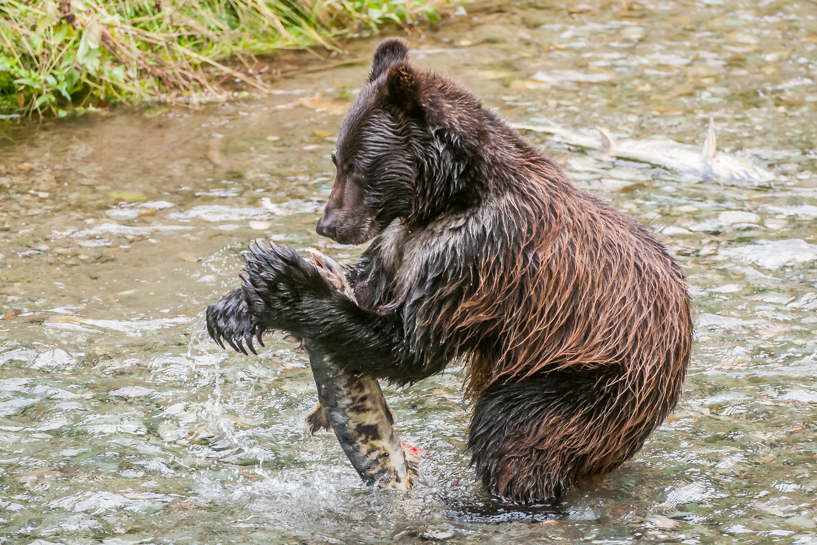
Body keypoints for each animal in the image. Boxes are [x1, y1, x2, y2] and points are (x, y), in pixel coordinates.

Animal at [205, 38, 692, 503]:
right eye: (335, 159)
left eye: (360, 166)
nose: (329, 225)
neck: (446, 200)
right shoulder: (401, 242)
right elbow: (370, 286)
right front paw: (233, 310)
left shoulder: (478, 257)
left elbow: (409, 346)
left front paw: (283, 280)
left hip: (589, 381)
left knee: (514, 433)